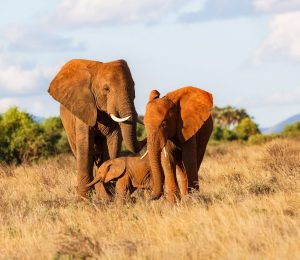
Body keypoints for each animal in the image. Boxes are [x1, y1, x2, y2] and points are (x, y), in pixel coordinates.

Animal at [48, 59, 145, 197]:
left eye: (134, 87)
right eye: (106, 89)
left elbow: (113, 140)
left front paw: (110, 192)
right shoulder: (83, 108)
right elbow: (85, 145)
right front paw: (85, 198)